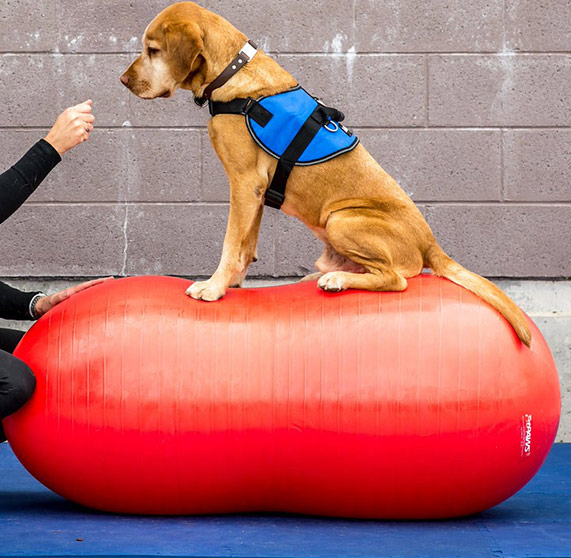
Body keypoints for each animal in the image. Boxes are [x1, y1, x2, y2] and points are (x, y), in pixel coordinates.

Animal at [119, 2, 532, 348]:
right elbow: (246, 243)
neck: (230, 72)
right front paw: (233, 282)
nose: (123, 81)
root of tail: (431, 244)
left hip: (342, 219)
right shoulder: (255, 193)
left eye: (152, 50)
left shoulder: (244, 184)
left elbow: (230, 242)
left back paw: (337, 281)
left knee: (397, 278)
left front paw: (214, 287)